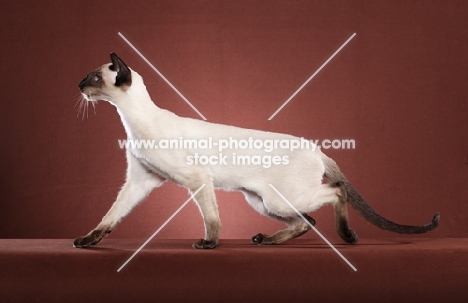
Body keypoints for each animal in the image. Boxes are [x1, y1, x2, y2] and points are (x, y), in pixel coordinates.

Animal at [73, 53, 438, 251]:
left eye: (93, 77)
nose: (78, 85)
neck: (135, 121)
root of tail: (316, 148)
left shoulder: (197, 180)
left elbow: (211, 219)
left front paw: (208, 245)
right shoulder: (140, 181)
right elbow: (110, 216)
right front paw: (89, 241)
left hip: (278, 198)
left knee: (336, 192)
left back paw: (347, 236)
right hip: (262, 201)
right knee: (308, 220)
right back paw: (267, 239)